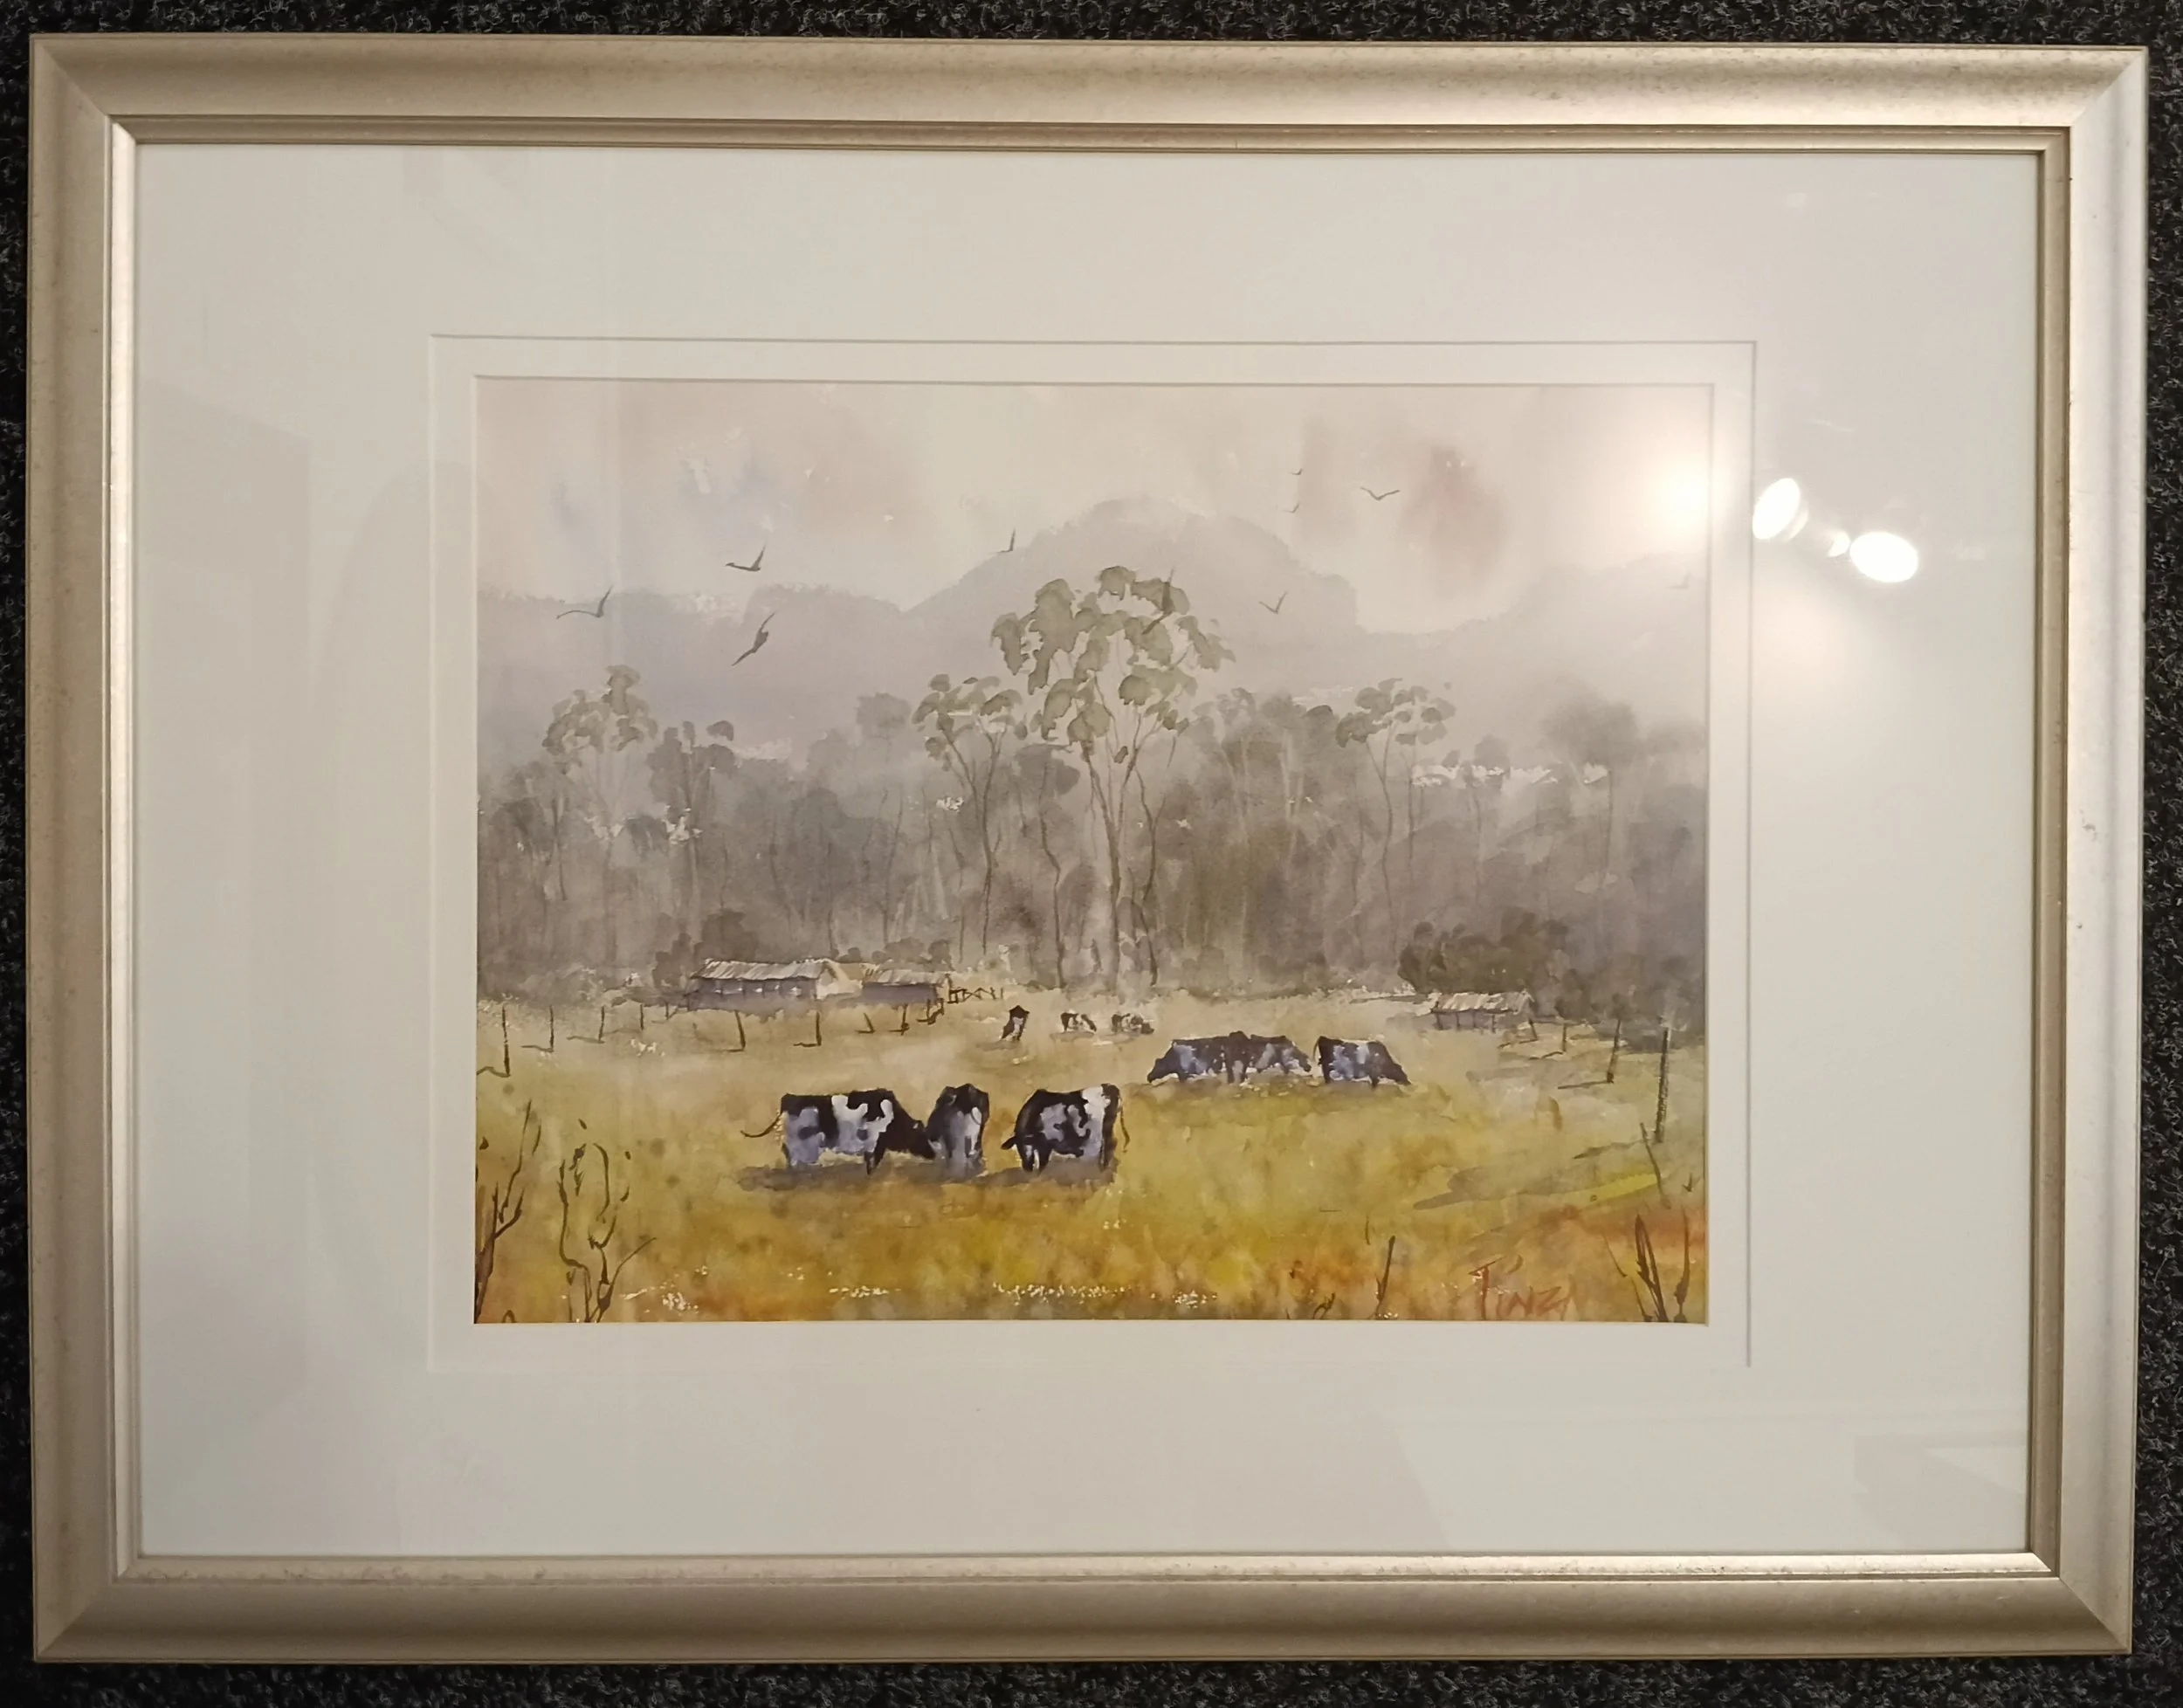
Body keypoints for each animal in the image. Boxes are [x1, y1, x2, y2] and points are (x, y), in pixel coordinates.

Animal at [778, 1090, 927, 1172]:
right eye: (922, 1137)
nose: (931, 1155)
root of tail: (789, 1097)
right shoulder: (875, 1144)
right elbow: (873, 1163)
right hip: (800, 1145)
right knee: (793, 1159)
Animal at [1004, 1084, 1121, 1173]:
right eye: (1017, 1147)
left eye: (1025, 1144)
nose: (1027, 1168)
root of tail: (1112, 1088)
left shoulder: (1049, 1145)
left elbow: (1044, 1161)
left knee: (1109, 1145)